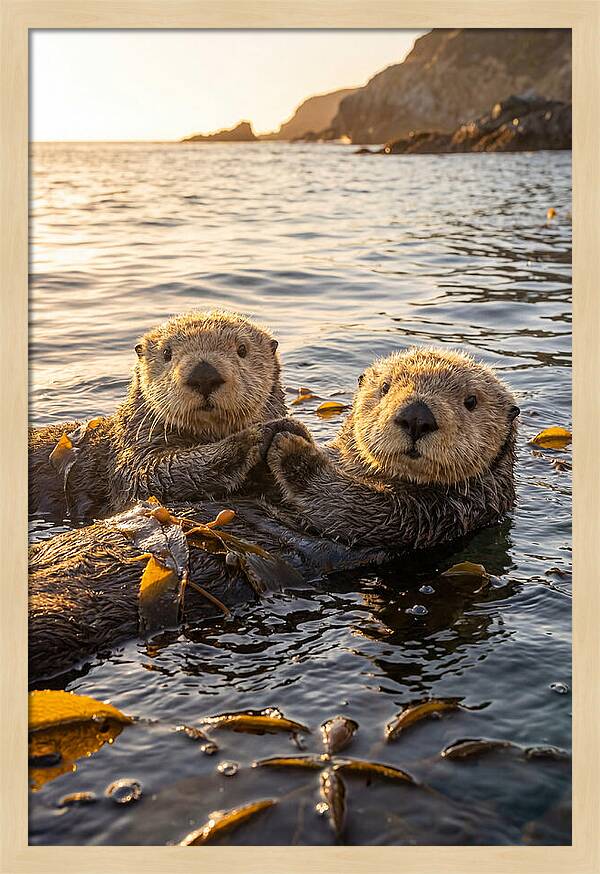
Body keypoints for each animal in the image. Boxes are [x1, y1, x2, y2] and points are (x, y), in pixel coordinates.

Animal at [29, 310, 291, 522]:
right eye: (167, 353)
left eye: (242, 349)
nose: (204, 375)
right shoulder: (132, 453)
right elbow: (151, 474)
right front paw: (256, 436)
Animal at [29, 347, 519, 683]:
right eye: (385, 389)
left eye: (471, 401)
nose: (416, 415)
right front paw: (274, 431)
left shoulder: (435, 516)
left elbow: (349, 505)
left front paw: (289, 444)